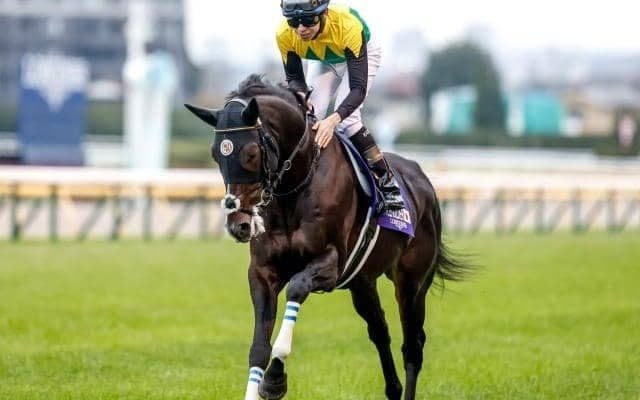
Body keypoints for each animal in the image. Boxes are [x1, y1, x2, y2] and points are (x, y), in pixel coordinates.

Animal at [185, 74, 469, 400]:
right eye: (215, 154)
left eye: (251, 154)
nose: (239, 223)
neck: (295, 188)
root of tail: (423, 181)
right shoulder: (262, 270)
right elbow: (258, 347)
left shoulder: (331, 263)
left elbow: (296, 288)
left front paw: (275, 378)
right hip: (362, 281)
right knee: (380, 330)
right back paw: (393, 388)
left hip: (412, 281)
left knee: (412, 345)